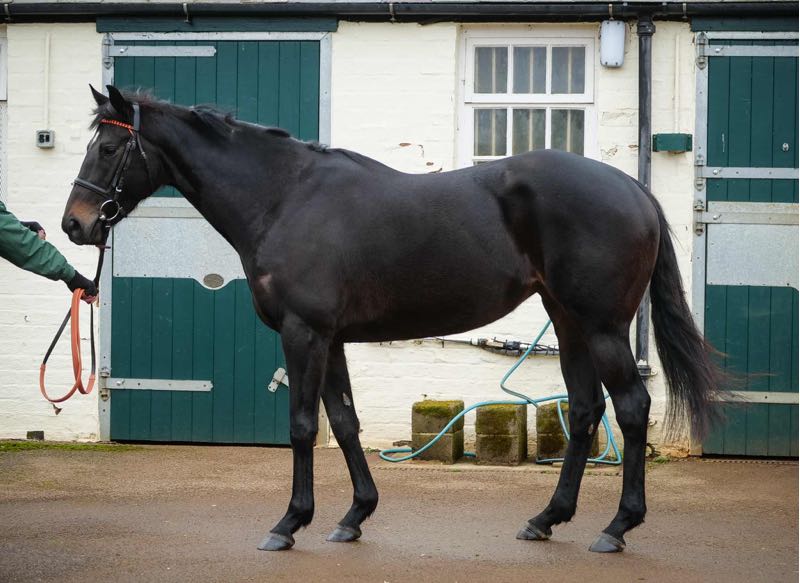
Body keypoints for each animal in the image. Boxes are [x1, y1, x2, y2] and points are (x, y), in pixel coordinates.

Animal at [62, 85, 719, 553]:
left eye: (111, 148)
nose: (75, 223)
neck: (284, 198)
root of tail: (633, 188)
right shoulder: (331, 340)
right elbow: (345, 422)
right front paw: (353, 516)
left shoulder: (304, 333)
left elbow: (303, 426)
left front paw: (289, 523)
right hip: (567, 321)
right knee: (584, 411)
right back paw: (546, 519)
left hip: (602, 326)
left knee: (631, 408)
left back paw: (617, 527)